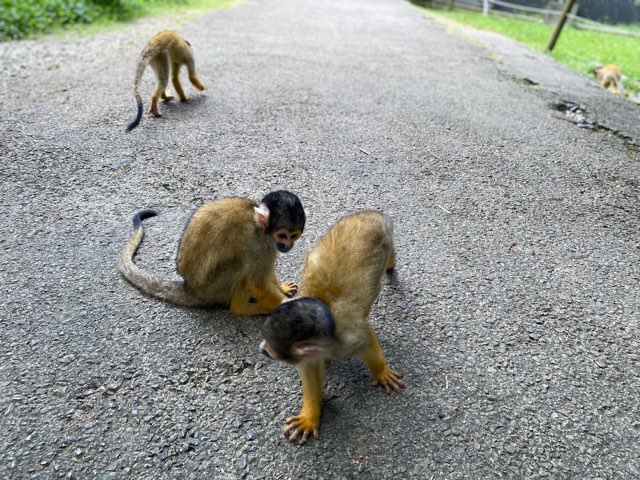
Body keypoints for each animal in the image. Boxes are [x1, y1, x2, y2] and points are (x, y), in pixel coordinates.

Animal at [119, 189, 306, 316]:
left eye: (294, 236)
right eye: (282, 235)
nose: (287, 246)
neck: (259, 226)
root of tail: (189, 288)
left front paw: (282, 288)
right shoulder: (257, 244)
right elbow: (257, 281)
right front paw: (287, 303)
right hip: (212, 289)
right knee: (240, 265)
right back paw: (242, 308)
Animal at [258, 212, 402, 444]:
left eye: (271, 351)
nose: (261, 349)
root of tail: (372, 215)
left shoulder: (347, 339)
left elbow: (366, 339)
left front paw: (380, 371)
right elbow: (311, 369)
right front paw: (310, 417)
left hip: (386, 239)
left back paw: (391, 263)